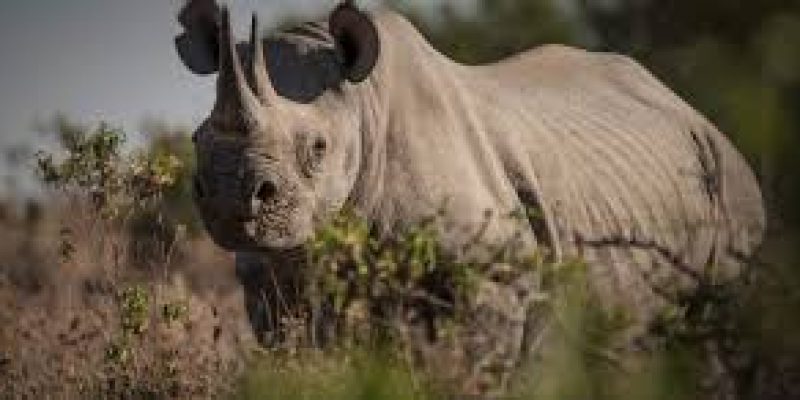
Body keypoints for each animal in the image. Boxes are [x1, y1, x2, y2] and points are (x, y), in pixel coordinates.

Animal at [175, 0, 765, 392]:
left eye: (317, 148)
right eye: (197, 140)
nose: (231, 201)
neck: (364, 109)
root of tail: (690, 108)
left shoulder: (492, 273)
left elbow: (473, 370)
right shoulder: (275, 280)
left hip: (731, 183)